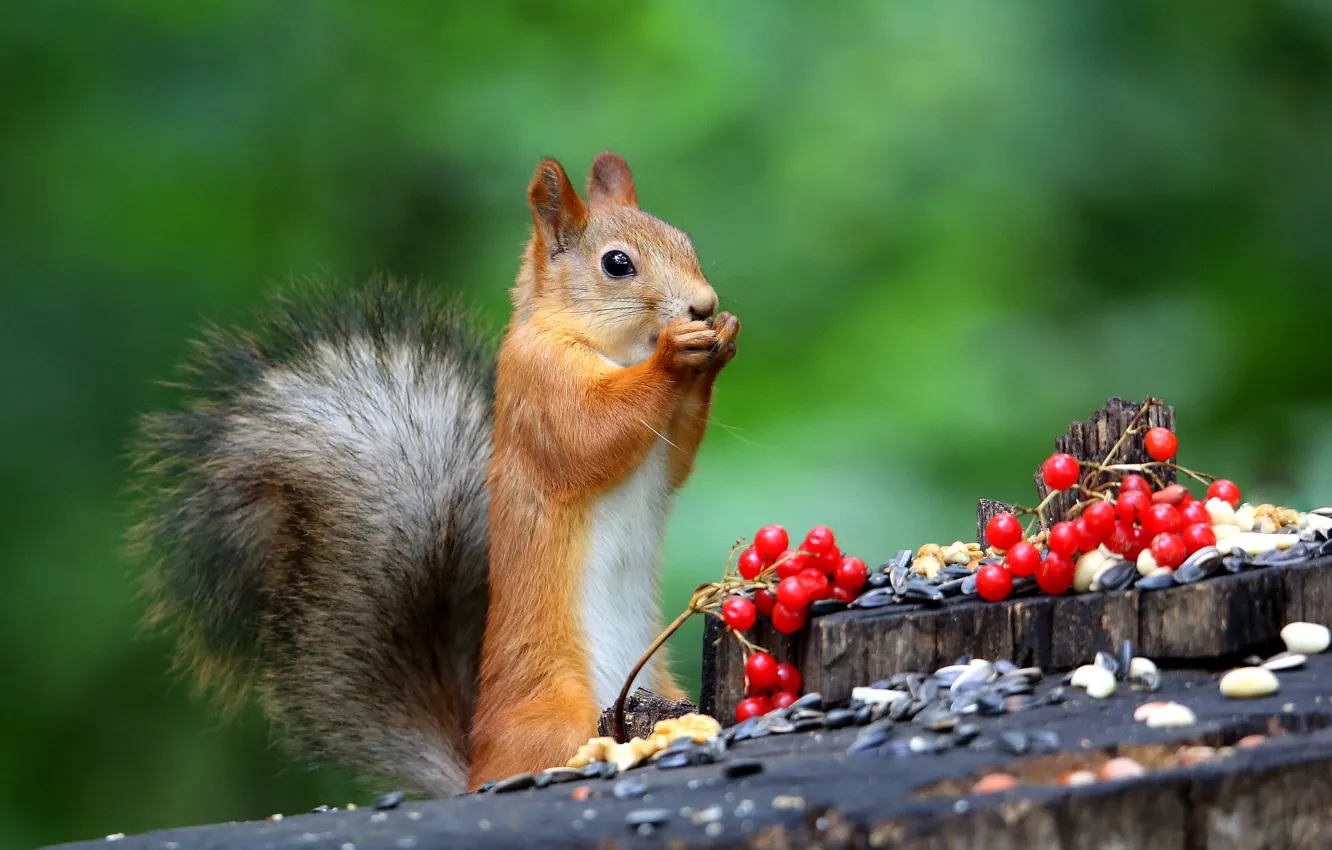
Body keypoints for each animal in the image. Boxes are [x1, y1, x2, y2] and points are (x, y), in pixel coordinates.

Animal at [128, 152, 739, 797]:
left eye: (685, 241)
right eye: (617, 264)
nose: (703, 304)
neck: (615, 350)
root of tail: (476, 772)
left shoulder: (658, 444)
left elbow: (675, 459)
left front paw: (719, 341)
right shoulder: (539, 388)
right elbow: (589, 436)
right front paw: (675, 354)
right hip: (557, 716)